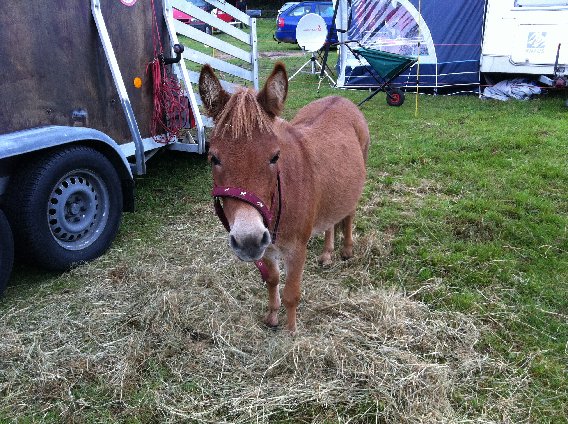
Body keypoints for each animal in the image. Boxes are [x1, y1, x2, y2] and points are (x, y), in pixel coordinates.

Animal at [197, 62, 370, 334]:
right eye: (213, 158)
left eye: (275, 157)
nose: (248, 240)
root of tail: (340, 97)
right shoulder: (267, 248)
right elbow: (271, 280)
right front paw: (272, 317)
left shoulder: (296, 249)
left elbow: (291, 294)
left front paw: (290, 332)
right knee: (330, 220)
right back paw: (327, 253)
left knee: (349, 213)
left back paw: (346, 250)